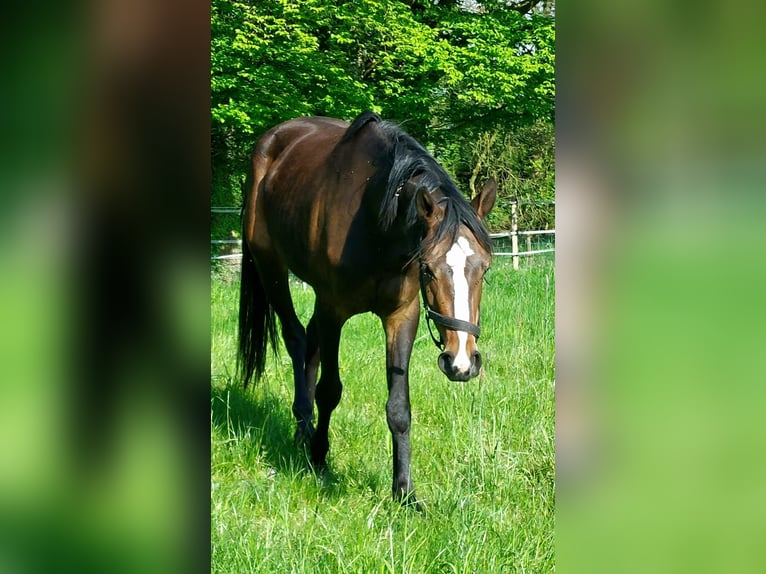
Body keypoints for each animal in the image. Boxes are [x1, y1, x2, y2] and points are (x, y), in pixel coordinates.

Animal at [237, 112, 498, 508]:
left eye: (484, 268)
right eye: (428, 269)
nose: (462, 362)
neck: (378, 225)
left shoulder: (401, 316)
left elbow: (399, 407)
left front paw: (404, 491)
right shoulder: (333, 310)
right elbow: (330, 390)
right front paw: (320, 459)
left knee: (309, 342)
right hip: (271, 268)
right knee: (297, 338)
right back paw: (304, 429)